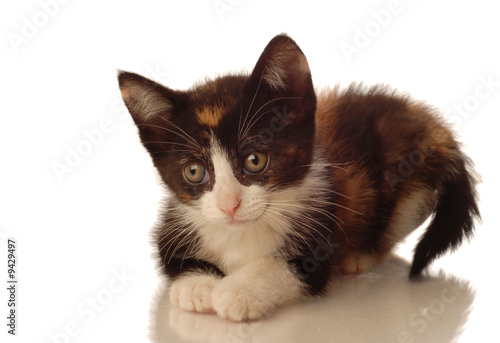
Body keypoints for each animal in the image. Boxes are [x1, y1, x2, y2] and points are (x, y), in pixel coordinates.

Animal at [117, 33, 480, 322]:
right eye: (194, 171)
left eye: (254, 160)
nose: (229, 206)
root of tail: (431, 123)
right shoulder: (176, 222)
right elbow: (172, 259)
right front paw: (197, 287)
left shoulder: (319, 224)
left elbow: (288, 267)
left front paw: (236, 292)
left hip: (413, 183)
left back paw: (358, 256)